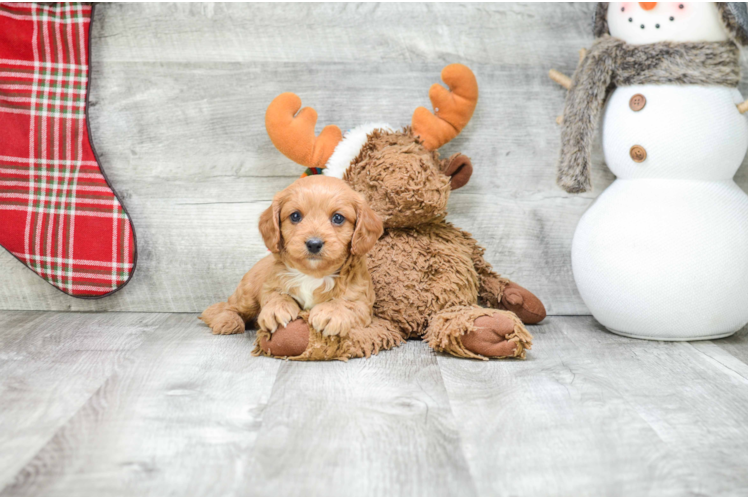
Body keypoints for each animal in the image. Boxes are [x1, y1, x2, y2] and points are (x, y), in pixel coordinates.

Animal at [199, 176, 382, 340]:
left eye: (338, 218)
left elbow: (348, 303)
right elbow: (276, 295)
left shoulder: (361, 300)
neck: (313, 275)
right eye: (295, 216)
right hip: (247, 295)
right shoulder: (270, 284)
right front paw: (277, 309)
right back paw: (227, 321)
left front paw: (331, 312)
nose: (314, 244)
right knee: (228, 306)